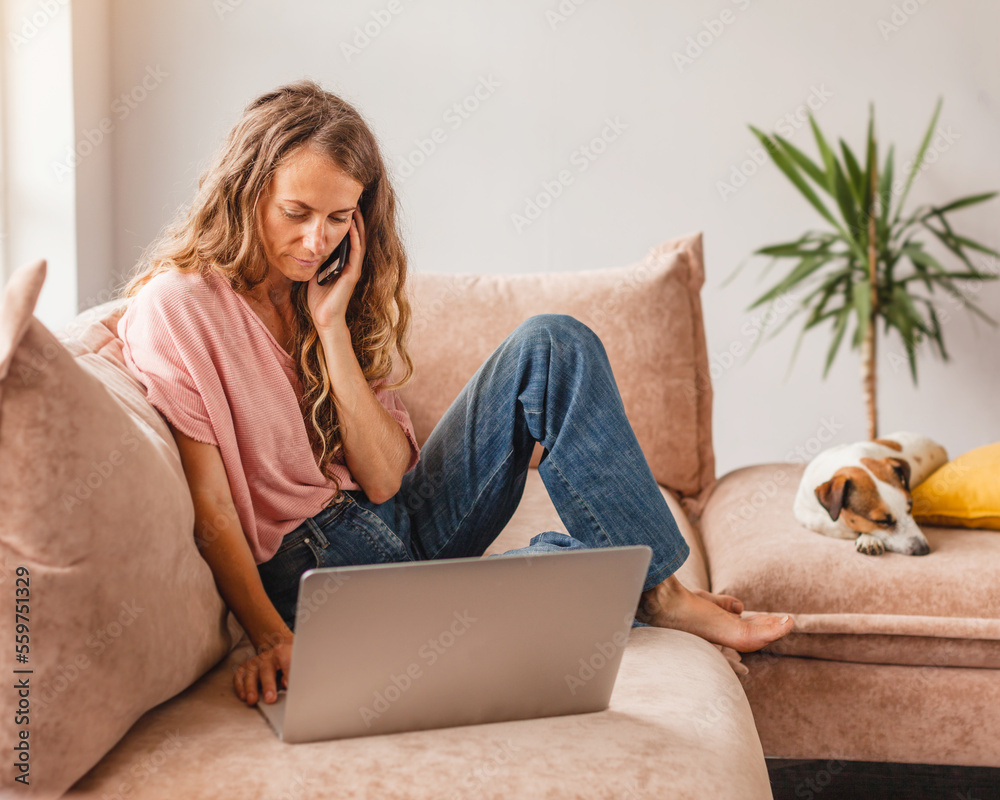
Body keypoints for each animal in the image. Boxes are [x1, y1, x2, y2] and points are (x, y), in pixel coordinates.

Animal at [792, 432, 948, 556]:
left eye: (910, 509)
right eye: (881, 521)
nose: (923, 549)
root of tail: (939, 446)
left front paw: (867, 538)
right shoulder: (805, 514)